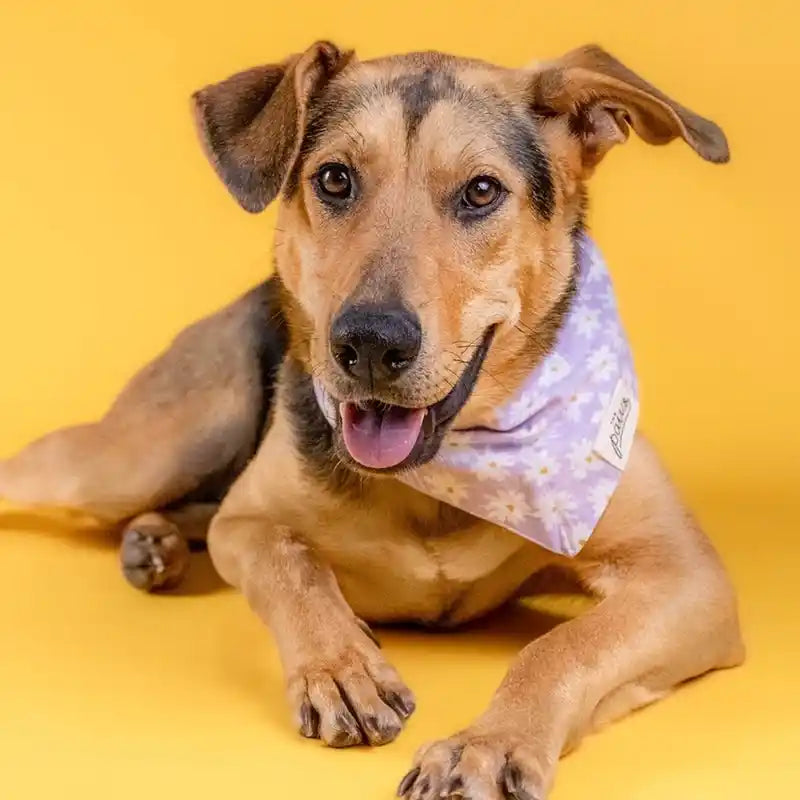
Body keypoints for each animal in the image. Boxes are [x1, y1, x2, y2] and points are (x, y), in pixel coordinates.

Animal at [3, 42, 748, 800]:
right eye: (335, 179)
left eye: (482, 192)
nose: (369, 344)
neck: (442, 472)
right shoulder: (250, 521)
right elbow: (292, 561)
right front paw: (343, 667)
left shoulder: (686, 577)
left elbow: (561, 646)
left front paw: (487, 745)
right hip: (147, 453)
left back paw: (156, 543)